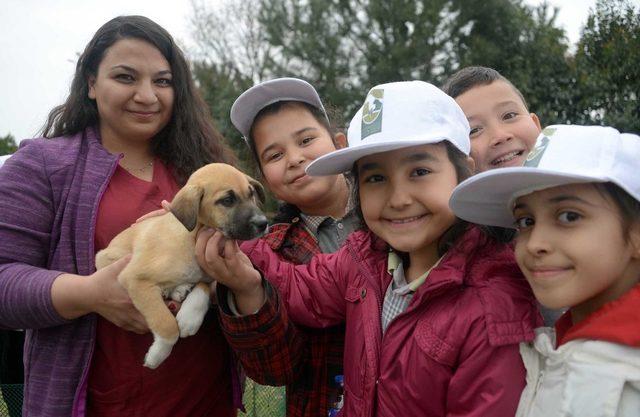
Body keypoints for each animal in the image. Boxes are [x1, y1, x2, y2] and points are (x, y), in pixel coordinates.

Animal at [94, 162, 268, 368]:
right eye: (227, 200)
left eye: (251, 194)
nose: (263, 223)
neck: (191, 237)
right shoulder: (134, 277)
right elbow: (166, 323)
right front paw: (158, 354)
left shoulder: (207, 271)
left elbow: (203, 286)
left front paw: (190, 319)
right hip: (105, 257)